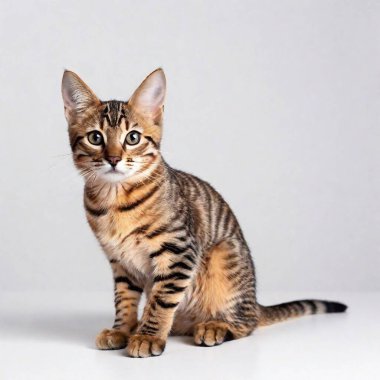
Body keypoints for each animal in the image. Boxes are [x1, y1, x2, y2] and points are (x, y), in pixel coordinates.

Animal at [60, 69, 348, 360]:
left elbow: (161, 300)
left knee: (246, 324)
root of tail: (256, 302)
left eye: (132, 138)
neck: (115, 200)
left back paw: (215, 327)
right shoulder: (120, 262)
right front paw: (122, 329)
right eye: (96, 138)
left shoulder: (178, 251)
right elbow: (124, 299)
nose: (113, 159)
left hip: (224, 257)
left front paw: (148, 336)